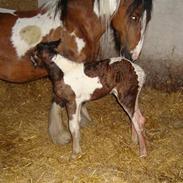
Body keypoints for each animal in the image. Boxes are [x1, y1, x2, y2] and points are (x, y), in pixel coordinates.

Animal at [0, 0, 152, 146]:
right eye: (134, 16)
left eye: (148, 19)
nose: (133, 55)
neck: (76, 26)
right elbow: (58, 102)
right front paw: (61, 136)